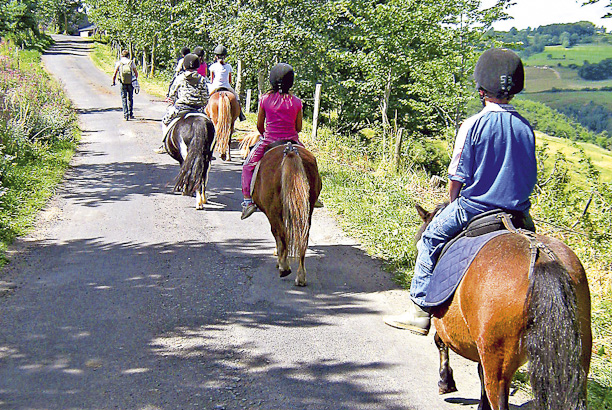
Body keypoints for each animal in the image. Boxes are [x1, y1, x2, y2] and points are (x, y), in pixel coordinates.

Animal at [251, 141, 322, 286]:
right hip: (307, 209)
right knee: (304, 237)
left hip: (273, 211)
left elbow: (278, 236)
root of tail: (290, 151)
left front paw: (280, 260)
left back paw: (284, 268)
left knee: (281, 233)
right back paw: (300, 277)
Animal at [414, 205, 592, 410]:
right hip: (577, 360)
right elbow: (478, 371)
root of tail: (543, 260)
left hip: (498, 362)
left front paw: (446, 381)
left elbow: (439, 341)